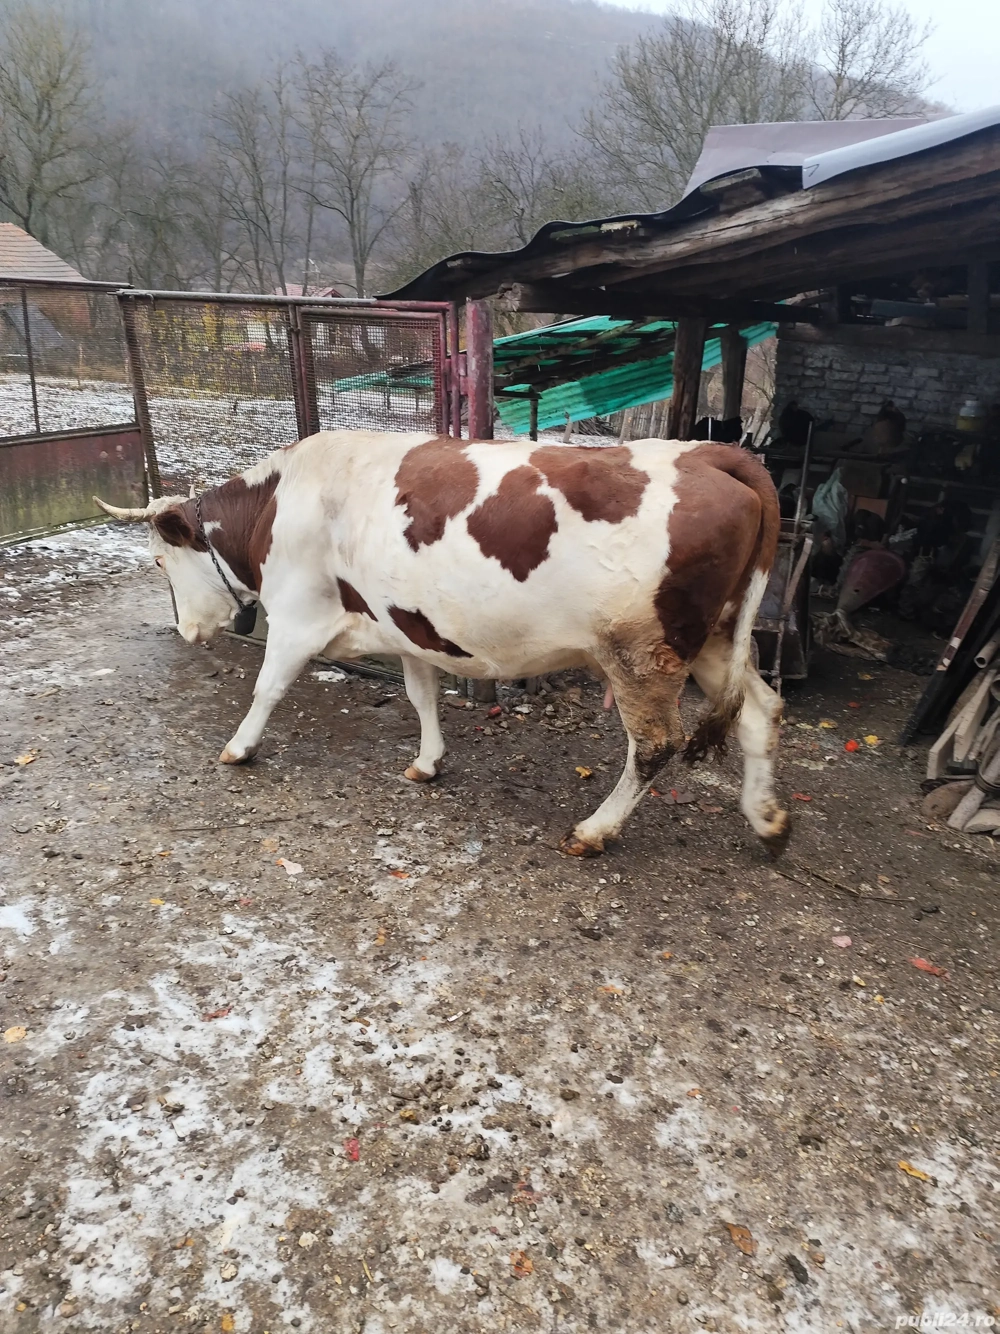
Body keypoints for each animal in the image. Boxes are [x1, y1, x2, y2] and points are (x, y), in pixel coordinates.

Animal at [95, 430, 789, 857]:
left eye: (158, 561)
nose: (185, 630)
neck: (278, 501)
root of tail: (710, 455)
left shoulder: (296, 613)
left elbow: (268, 686)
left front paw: (238, 749)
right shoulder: (408, 626)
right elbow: (421, 694)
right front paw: (428, 762)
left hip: (643, 651)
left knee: (655, 744)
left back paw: (595, 829)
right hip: (715, 638)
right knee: (761, 710)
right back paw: (768, 821)